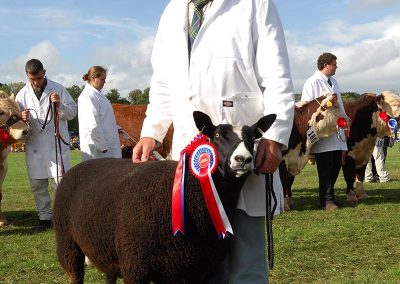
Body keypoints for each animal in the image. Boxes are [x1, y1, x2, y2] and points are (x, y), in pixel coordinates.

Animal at [53, 111, 276, 284]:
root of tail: (80, 166)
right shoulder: (135, 268)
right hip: (68, 244)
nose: (243, 159)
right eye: (218, 134)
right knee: (75, 274)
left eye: (253, 138)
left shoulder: (198, 270)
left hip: (106, 248)